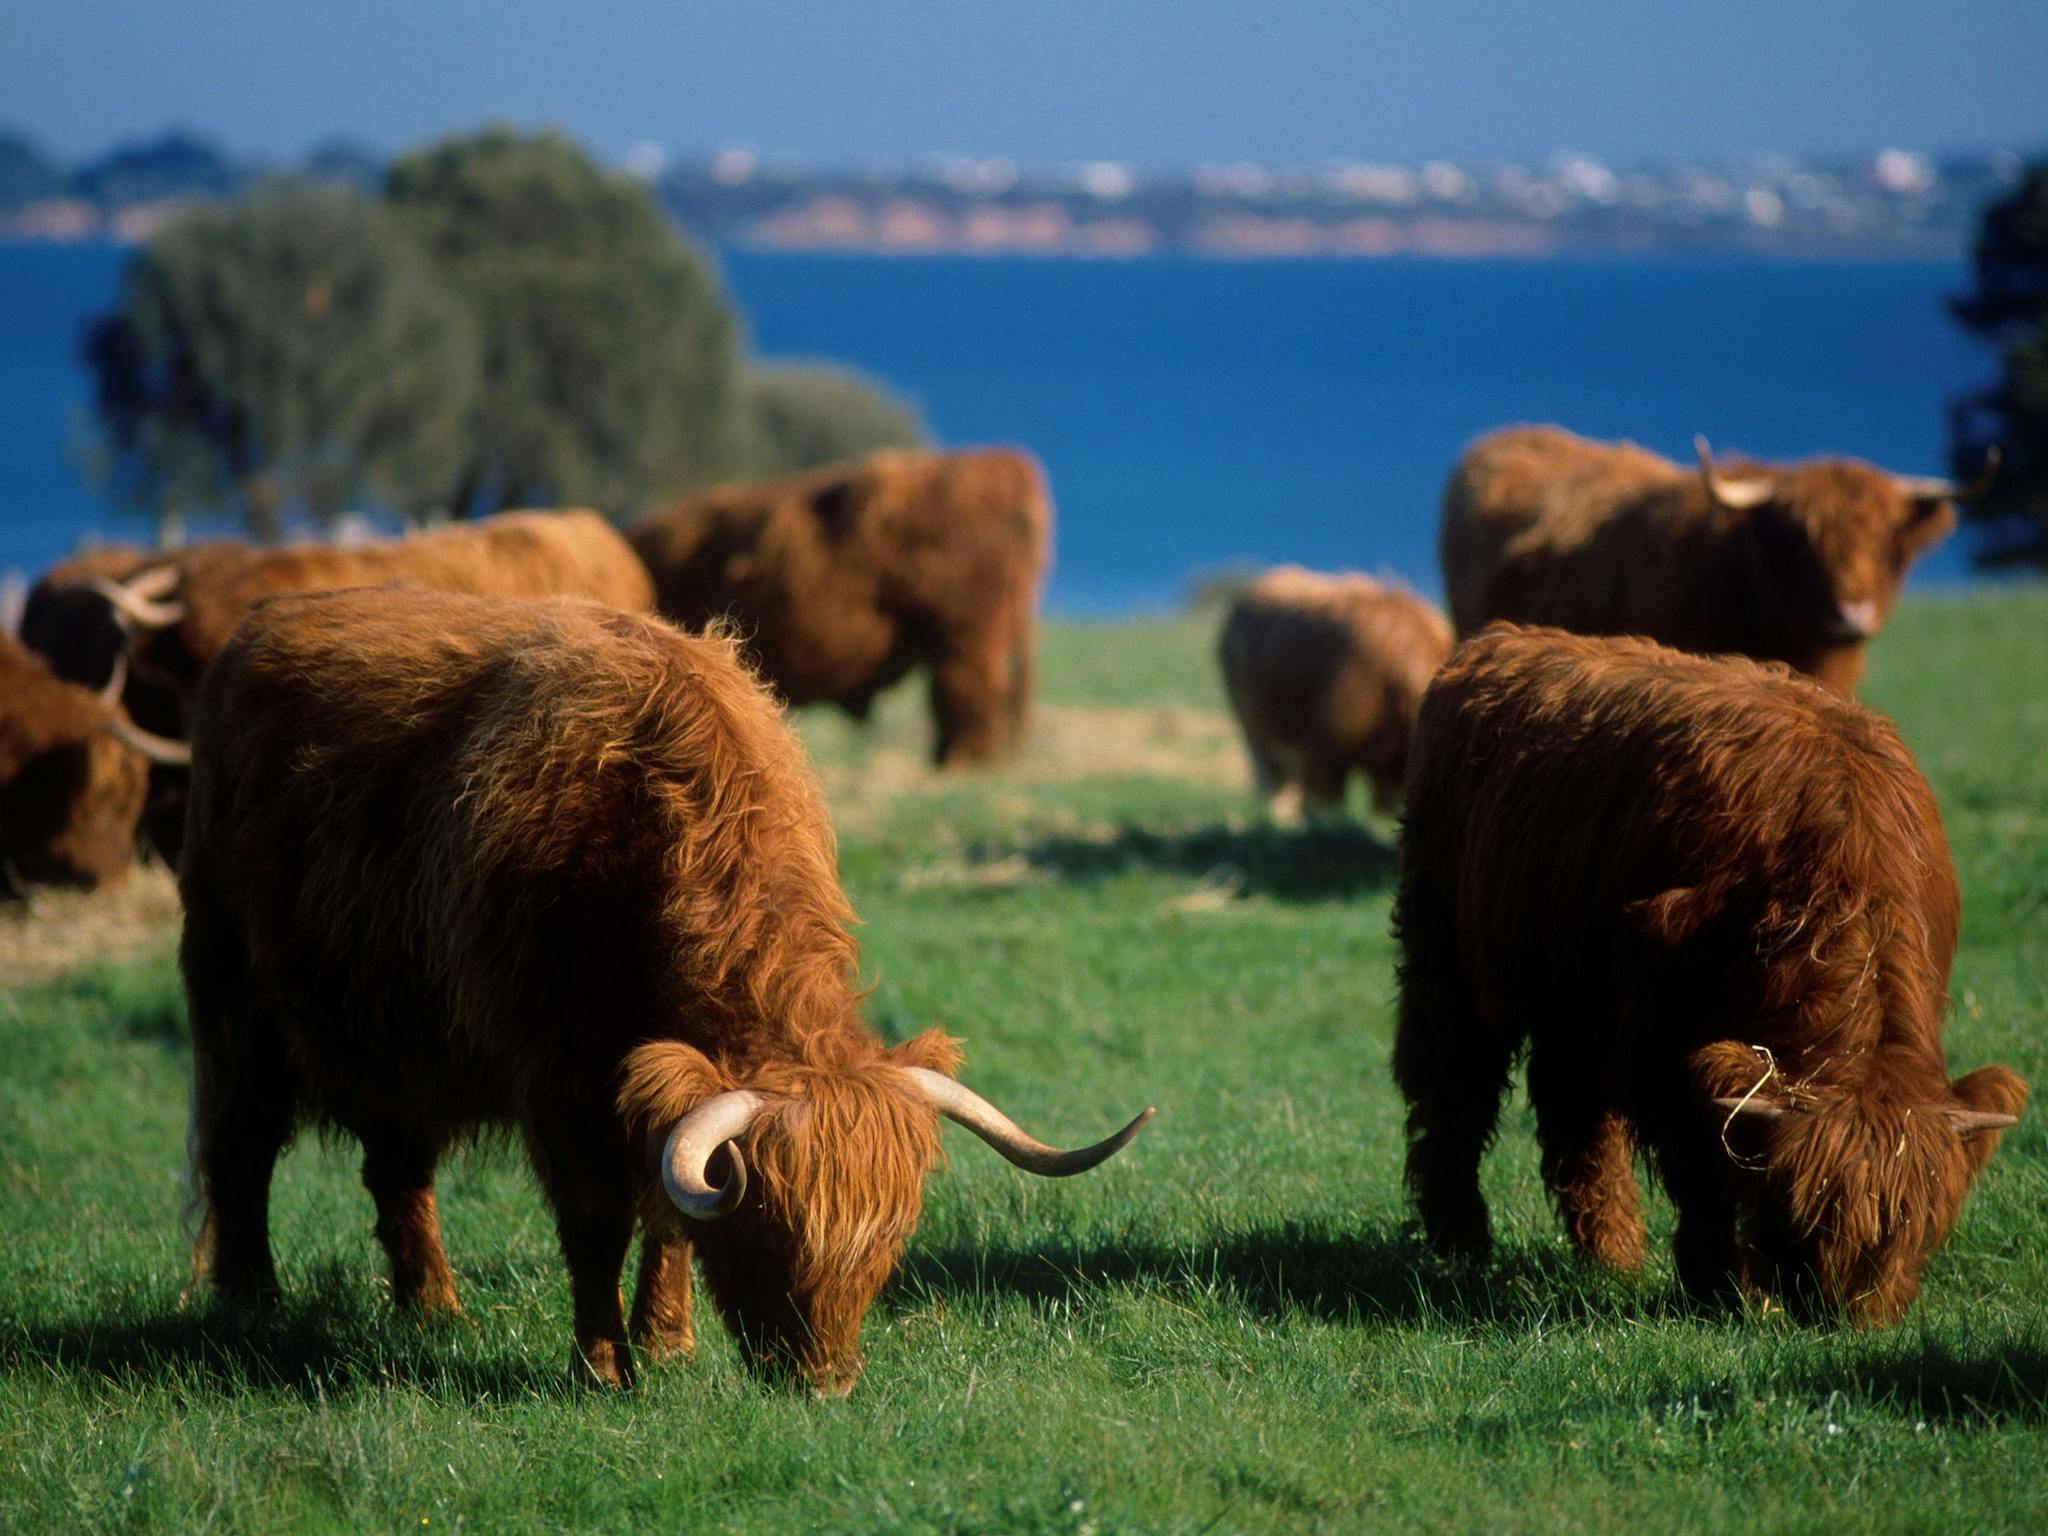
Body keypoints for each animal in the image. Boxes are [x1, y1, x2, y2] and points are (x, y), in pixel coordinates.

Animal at [178, 587, 1151, 1393]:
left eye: (891, 1240)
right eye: (767, 1232)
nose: (826, 1383)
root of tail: (259, 627)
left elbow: (669, 1213)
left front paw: (669, 1345)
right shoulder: (558, 1077)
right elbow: (597, 1219)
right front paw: (605, 1365)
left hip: (397, 1041)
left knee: (396, 1170)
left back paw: (433, 1313)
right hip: (237, 1002)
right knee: (241, 1146)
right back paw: (251, 1303)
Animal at [1391, 624, 2025, 1325]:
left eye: (1910, 1226)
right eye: (1805, 1215)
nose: (1842, 1313)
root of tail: (1500, 641)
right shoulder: (1661, 1035)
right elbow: (1699, 1168)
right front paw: (1721, 1284)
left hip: (1571, 998)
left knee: (1571, 1112)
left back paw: (1612, 1254)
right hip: (1446, 958)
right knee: (1453, 1086)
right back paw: (1460, 1238)